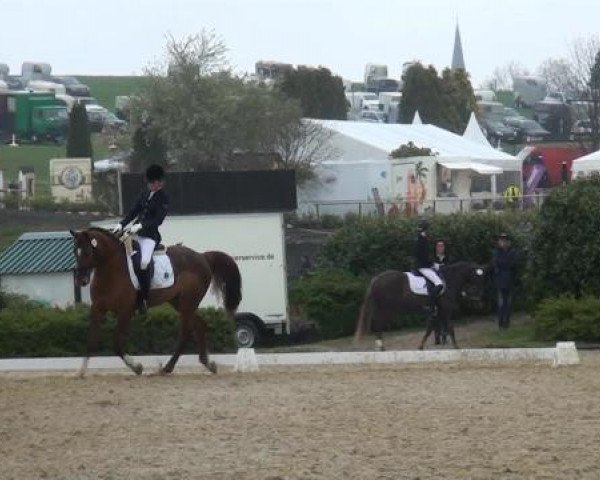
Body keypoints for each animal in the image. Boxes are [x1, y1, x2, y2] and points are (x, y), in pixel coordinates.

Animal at [72, 227, 244, 376]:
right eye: (75, 252)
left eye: (87, 251)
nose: (80, 280)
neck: (111, 269)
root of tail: (202, 257)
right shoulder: (97, 308)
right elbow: (91, 341)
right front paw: (80, 371)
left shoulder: (125, 311)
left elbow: (117, 344)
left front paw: (137, 367)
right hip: (180, 303)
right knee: (199, 325)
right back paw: (208, 364)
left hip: (188, 302)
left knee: (186, 331)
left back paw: (167, 368)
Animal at [354, 260, 486, 350]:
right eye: (477, 276)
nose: (479, 295)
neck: (448, 280)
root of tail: (377, 278)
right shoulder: (446, 310)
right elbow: (450, 328)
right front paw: (456, 347)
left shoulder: (437, 312)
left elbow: (430, 328)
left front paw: (421, 346)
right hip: (387, 309)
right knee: (378, 323)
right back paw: (380, 346)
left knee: (377, 323)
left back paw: (380, 346)